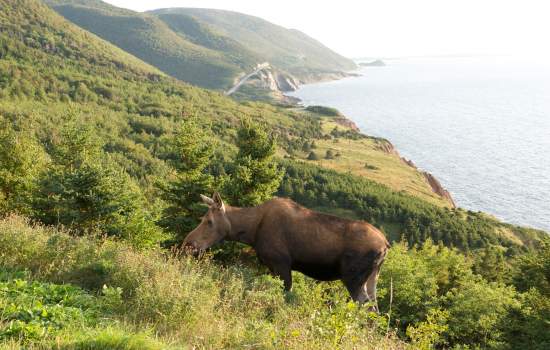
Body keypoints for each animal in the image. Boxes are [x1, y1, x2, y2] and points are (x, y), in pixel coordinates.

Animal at [185, 193, 392, 310]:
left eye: (209, 221)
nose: (188, 243)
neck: (251, 232)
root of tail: (385, 245)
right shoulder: (271, 266)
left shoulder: (282, 264)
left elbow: (286, 295)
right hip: (372, 277)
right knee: (375, 307)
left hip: (353, 277)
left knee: (365, 306)